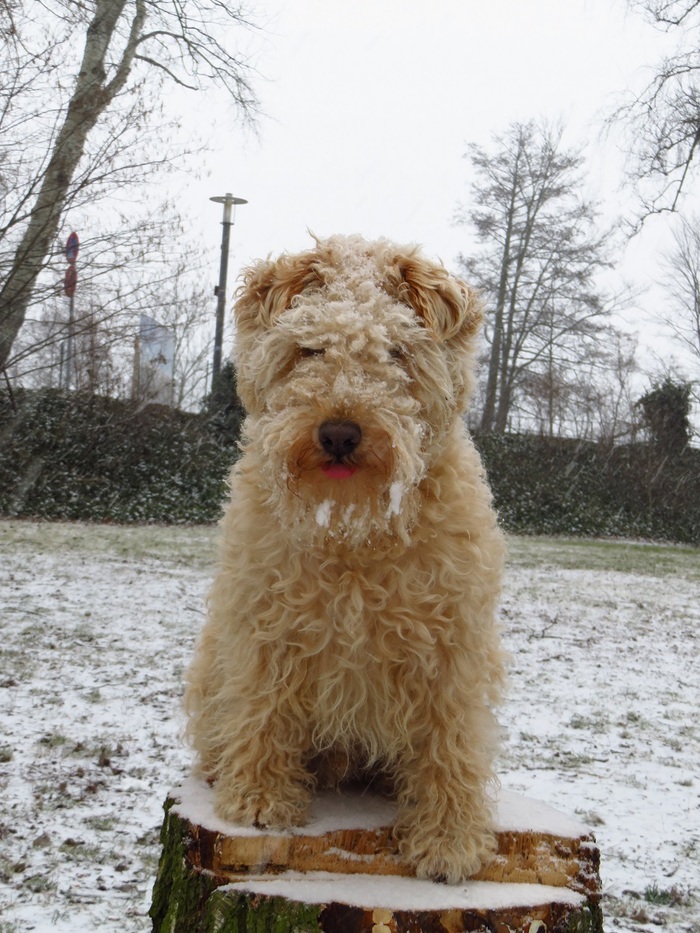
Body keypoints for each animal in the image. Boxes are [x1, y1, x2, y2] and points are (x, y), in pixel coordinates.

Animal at [185, 233, 504, 880]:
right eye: (309, 348)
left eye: (396, 351)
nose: (338, 432)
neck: (355, 534)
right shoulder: (267, 625)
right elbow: (264, 709)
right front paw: (259, 800)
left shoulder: (452, 646)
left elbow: (450, 741)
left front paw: (449, 840)